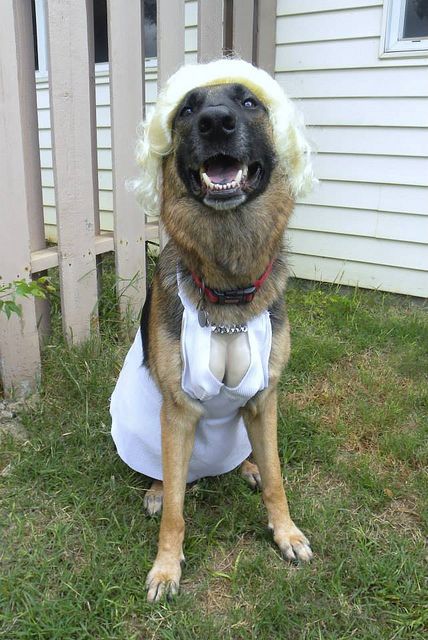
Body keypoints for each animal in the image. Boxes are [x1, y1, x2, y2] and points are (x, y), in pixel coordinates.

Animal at [110, 57, 316, 604]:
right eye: (187, 109)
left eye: (248, 102)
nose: (215, 123)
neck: (229, 289)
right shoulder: (179, 413)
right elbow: (177, 513)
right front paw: (166, 567)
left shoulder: (265, 399)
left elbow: (278, 480)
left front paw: (285, 533)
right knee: (167, 479)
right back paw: (159, 489)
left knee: (253, 459)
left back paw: (246, 467)